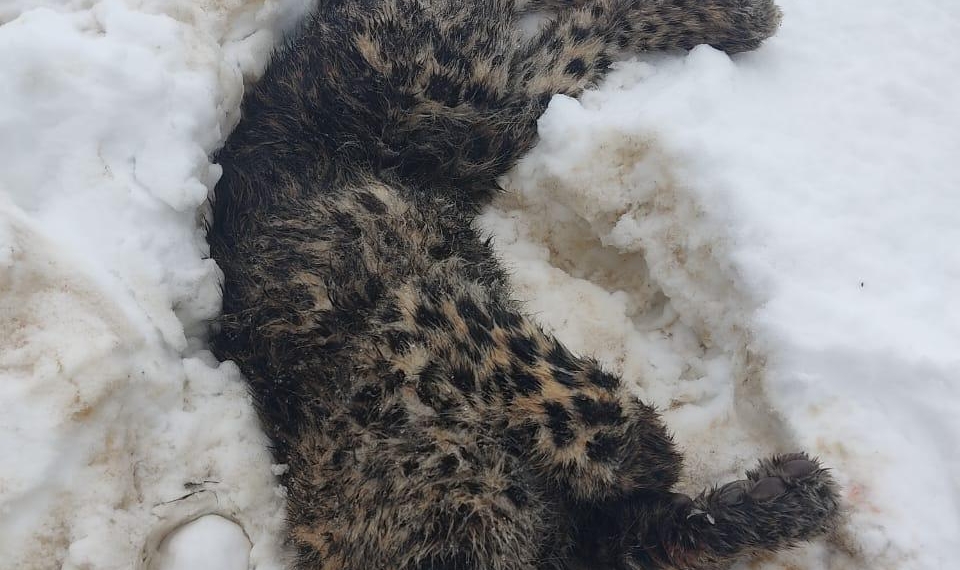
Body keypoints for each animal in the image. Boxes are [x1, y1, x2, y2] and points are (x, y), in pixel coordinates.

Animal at [207, 0, 841, 568]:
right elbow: (637, 518)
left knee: (558, 28)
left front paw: (653, 453)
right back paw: (736, 18)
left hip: (447, 81)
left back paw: (736, 17)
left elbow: (572, 393)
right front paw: (772, 499)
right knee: (567, 49)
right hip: (482, 125)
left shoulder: (421, 305)